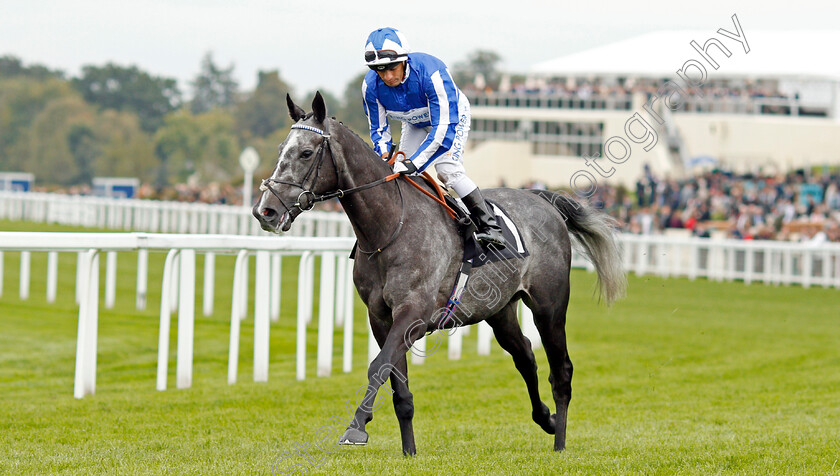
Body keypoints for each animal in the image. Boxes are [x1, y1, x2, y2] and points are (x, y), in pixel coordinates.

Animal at [253, 92, 628, 454]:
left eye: (305, 153)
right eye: (281, 150)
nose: (265, 211)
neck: (389, 228)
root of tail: (543, 199)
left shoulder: (414, 314)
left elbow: (378, 366)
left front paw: (356, 427)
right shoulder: (381, 318)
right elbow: (397, 385)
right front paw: (409, 451)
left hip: (549, 307)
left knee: (561, 371)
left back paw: (560, 441)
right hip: (499, 310)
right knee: (525, 356)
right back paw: (546, 419)